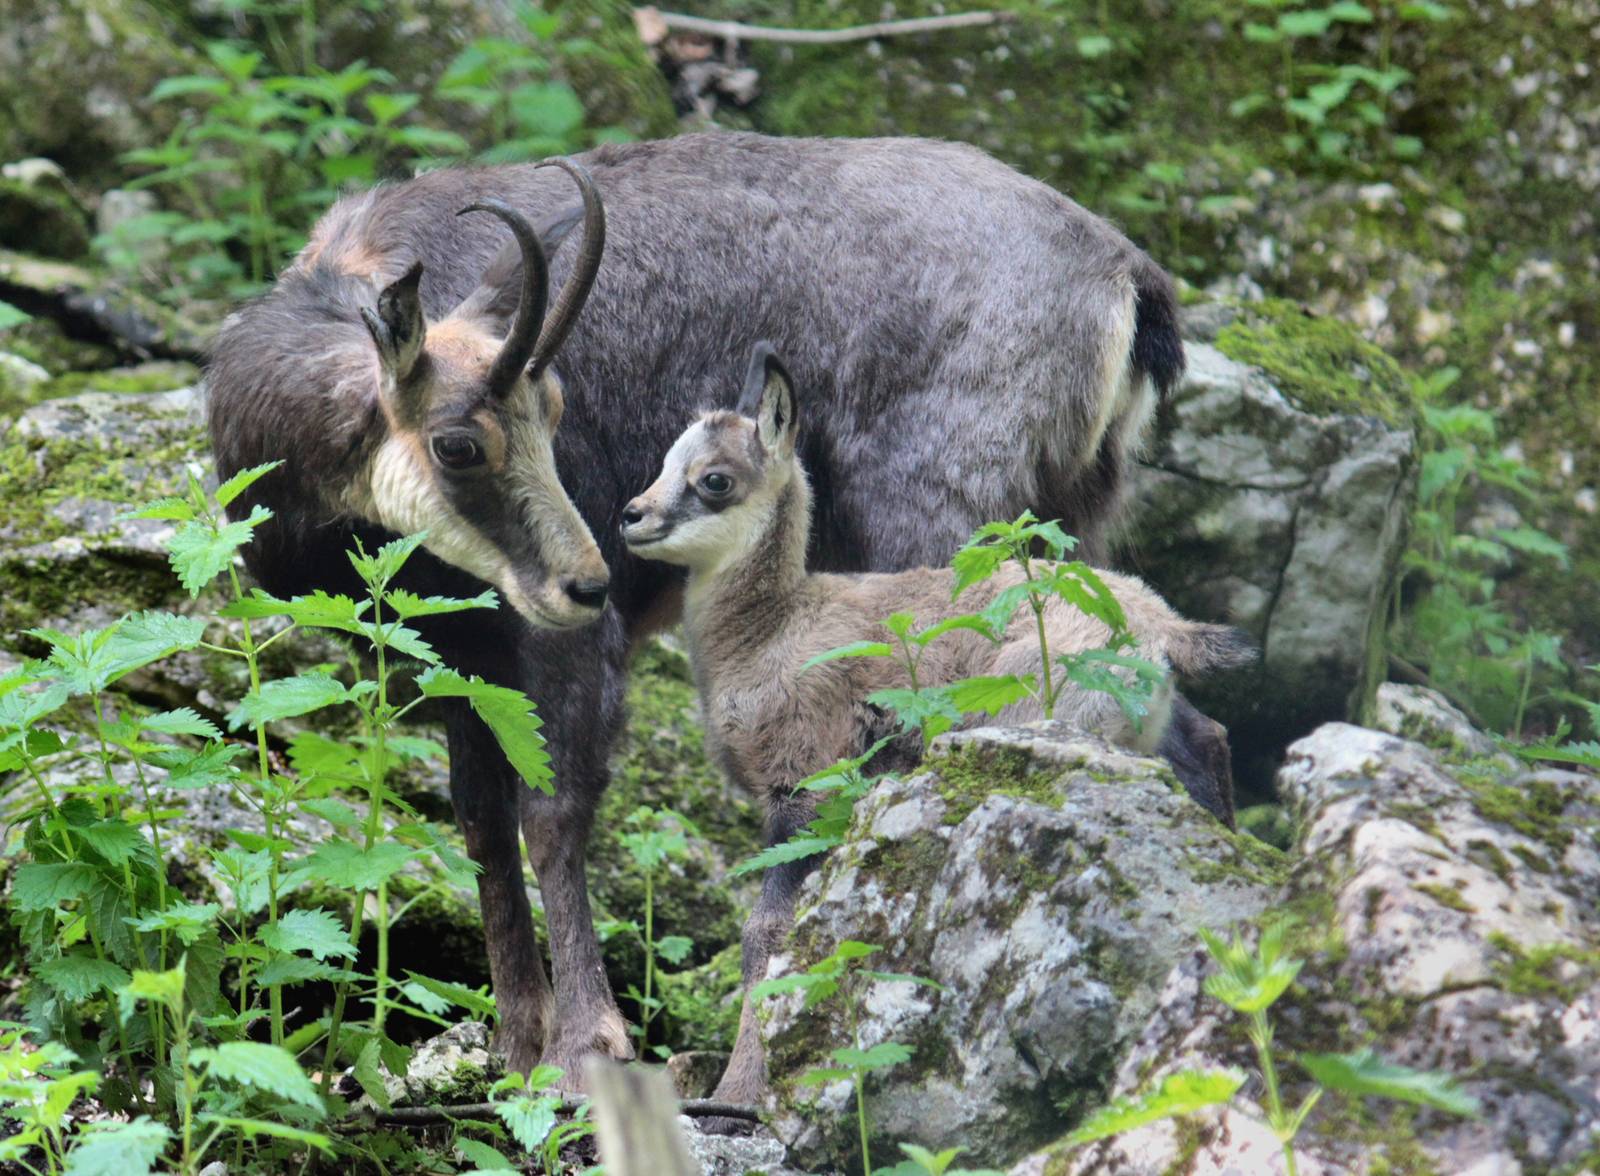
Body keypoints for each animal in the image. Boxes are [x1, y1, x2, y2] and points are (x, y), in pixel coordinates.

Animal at [621, 342, 1255, 1106]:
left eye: (714, 479)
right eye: (663, 460)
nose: (631, 516)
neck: (770, 627)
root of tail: (1159, 627)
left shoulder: (806, 786)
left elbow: (767, 936)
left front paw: (737, 1095)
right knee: (1207, 742)